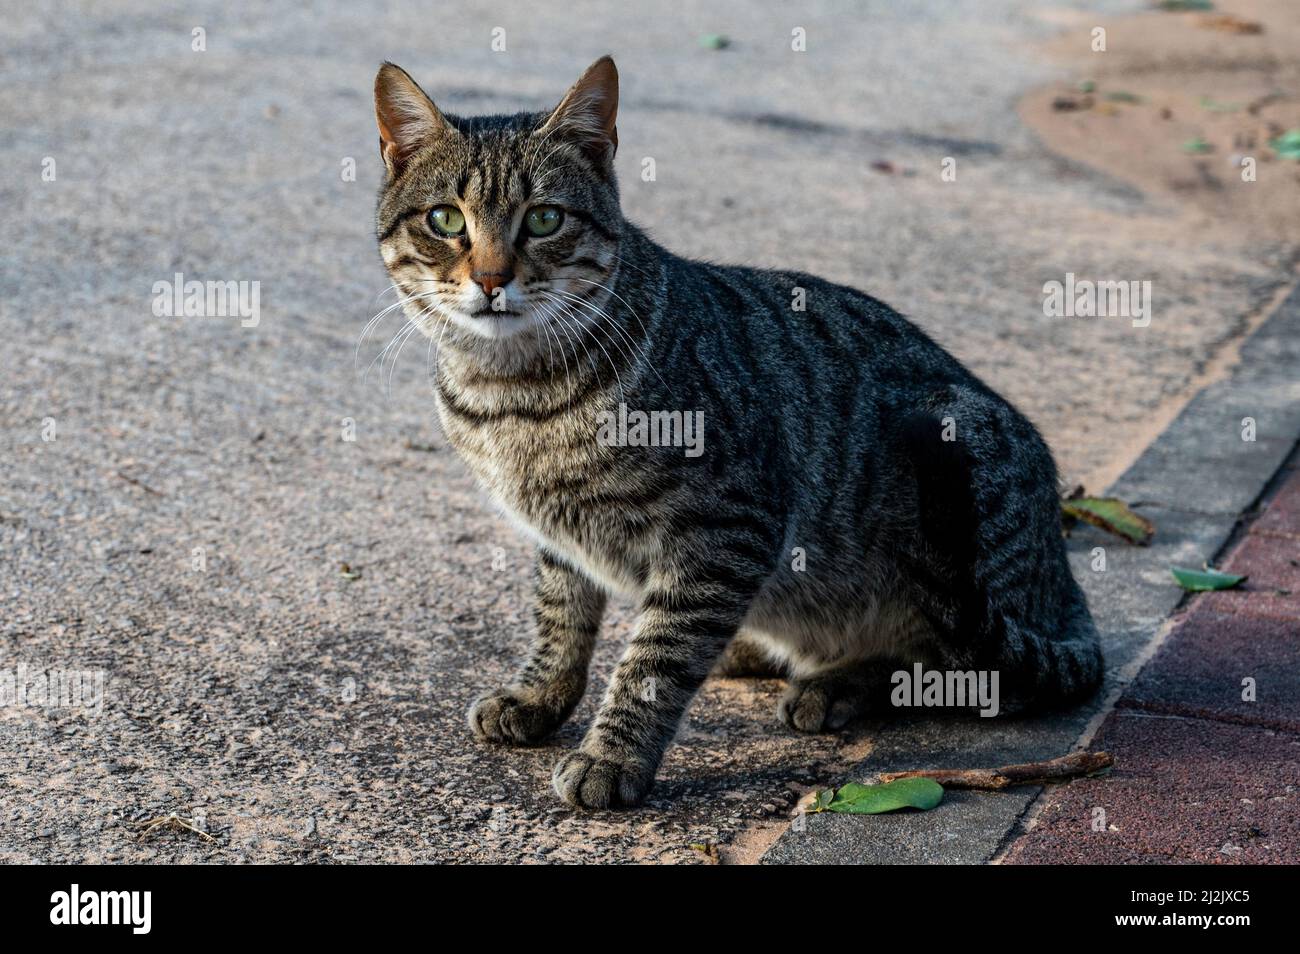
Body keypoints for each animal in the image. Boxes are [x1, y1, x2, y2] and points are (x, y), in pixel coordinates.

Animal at [371, 55, 1102, 811]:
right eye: (445, 219)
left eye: (544, 219)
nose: (491, 278)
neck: (513, 397)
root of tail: (1069, 592)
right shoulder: (563, 540)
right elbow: (560, 621)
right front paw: (539, 696)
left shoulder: (727, 527)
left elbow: (652, 661)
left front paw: (613, 754)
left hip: (958, 472)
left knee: (953, 661)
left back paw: (834, 682)